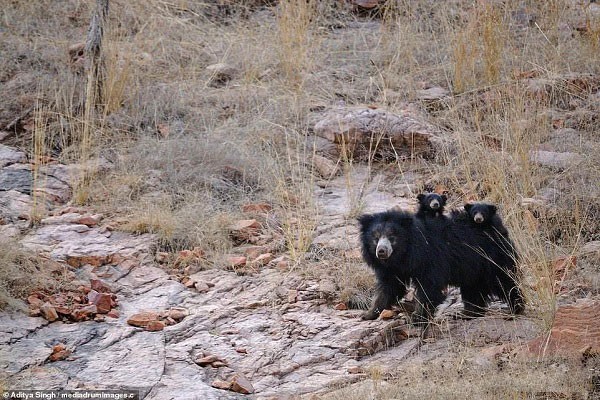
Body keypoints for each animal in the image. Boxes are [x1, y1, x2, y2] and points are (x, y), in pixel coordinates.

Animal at [358, 209, 524, 322]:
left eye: (392, 237)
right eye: (375, 238)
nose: (381, 251)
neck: (404, 256)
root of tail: (498, 226)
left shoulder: (430, 258)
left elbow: (428, 286)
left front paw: (416, 317)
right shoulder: (392, 269)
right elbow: (389, 287)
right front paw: (368, 314)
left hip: (491, 257)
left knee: (503, 281)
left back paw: (515, 309)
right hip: (472, 268)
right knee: (473, 288)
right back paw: (468, 313)